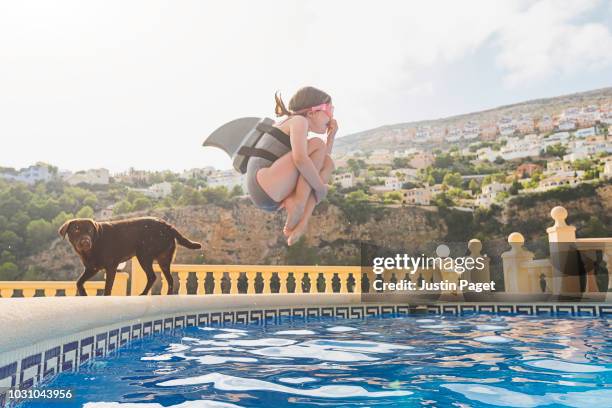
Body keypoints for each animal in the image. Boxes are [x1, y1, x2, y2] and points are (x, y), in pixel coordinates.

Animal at [57, 217, 202, 296]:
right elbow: (79, 282)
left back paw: (143, 294)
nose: (86, 242)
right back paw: (167, 295)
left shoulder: (111, 267)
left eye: (90, 230)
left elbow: (108, 287)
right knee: (169, 279)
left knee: (153, 276)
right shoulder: (92, 268)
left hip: (144, 255)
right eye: (76, 229)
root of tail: (168, 226)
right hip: (163, 260)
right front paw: (84, 294)